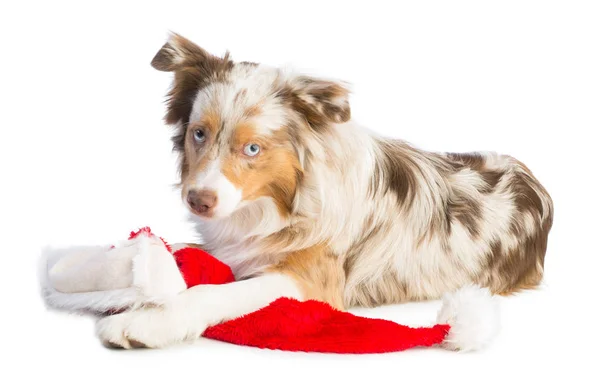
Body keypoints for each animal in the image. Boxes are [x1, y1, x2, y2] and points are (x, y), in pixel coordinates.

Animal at [97, 33, 552, 350]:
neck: (277, 202)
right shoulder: (236, 244)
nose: (199, 200)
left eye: (252, 148)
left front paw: (149, 321)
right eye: (199, 133)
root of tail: (532, 178)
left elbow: (217, 292)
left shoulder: (311, 279)